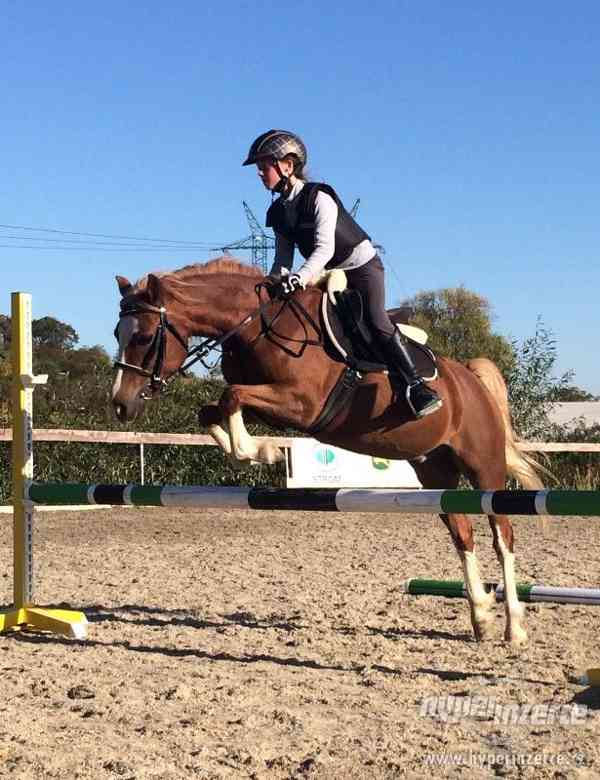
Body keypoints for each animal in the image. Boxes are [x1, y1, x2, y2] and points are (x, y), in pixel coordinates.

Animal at [111, 257, 545, 645]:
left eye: (143, 337)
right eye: (117, 333)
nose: (120, 405)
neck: (259, 326)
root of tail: (471, 379)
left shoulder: (303, 404)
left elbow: (231, 395)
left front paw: (263, 452)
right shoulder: (269, 403)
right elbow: (214, 408)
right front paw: (256, 451)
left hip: (483, 466)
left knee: (502, 536)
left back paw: (515, 628)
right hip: (435, 470)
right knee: (463, 533)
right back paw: (481, 617)